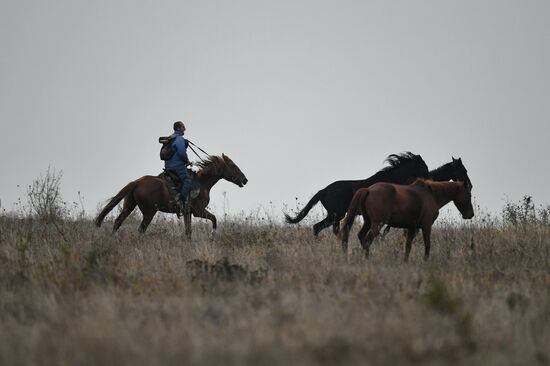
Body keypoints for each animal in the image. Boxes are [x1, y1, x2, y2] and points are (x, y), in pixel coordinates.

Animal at [95, 154, 248, 237]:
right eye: (233, 166)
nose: (245, 180)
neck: (202, 183)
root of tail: (137, 182)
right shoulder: (198, 211)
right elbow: (214, 219)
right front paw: (213, 235)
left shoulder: (188, 212)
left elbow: (188, 231)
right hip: (149, 212)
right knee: (141, 229)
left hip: (129, 206)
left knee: (118, 222)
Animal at [284, 153, 432, 236]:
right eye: (424, 167)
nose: (430, 179)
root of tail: (324, 190)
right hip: (336, 214)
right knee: (318, 227)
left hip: (335, 216)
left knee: (329, 229)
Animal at [340, 179, 474, 260]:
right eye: (469, 195)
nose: (470, 215)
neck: (431, 195)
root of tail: (368, 190)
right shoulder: (426, 226)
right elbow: (427, 245)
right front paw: (426, 261)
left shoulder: (411, 228)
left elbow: (408, 246)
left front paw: (405, 262)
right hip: (377, 224)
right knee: (367, 240)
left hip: (368, 222)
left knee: (361, 236)